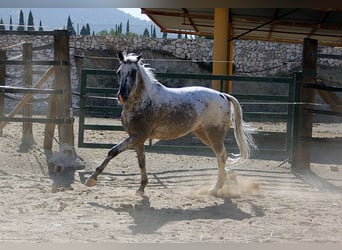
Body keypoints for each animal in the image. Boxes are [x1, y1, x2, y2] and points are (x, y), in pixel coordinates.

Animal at [85, 50, 256, 195]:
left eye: (133, 73)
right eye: (119, 72)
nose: (122, 96)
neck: (142, 101)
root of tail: (223, 95)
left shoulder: (137, 136)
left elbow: (113, 151)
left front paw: (91, 179)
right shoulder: (138, 139)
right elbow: (141, 162)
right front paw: (141, 188)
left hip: (214, 134)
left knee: (221, 155)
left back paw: (215, 189)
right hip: (203, 134)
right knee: (222, 156)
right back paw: (229, 177)